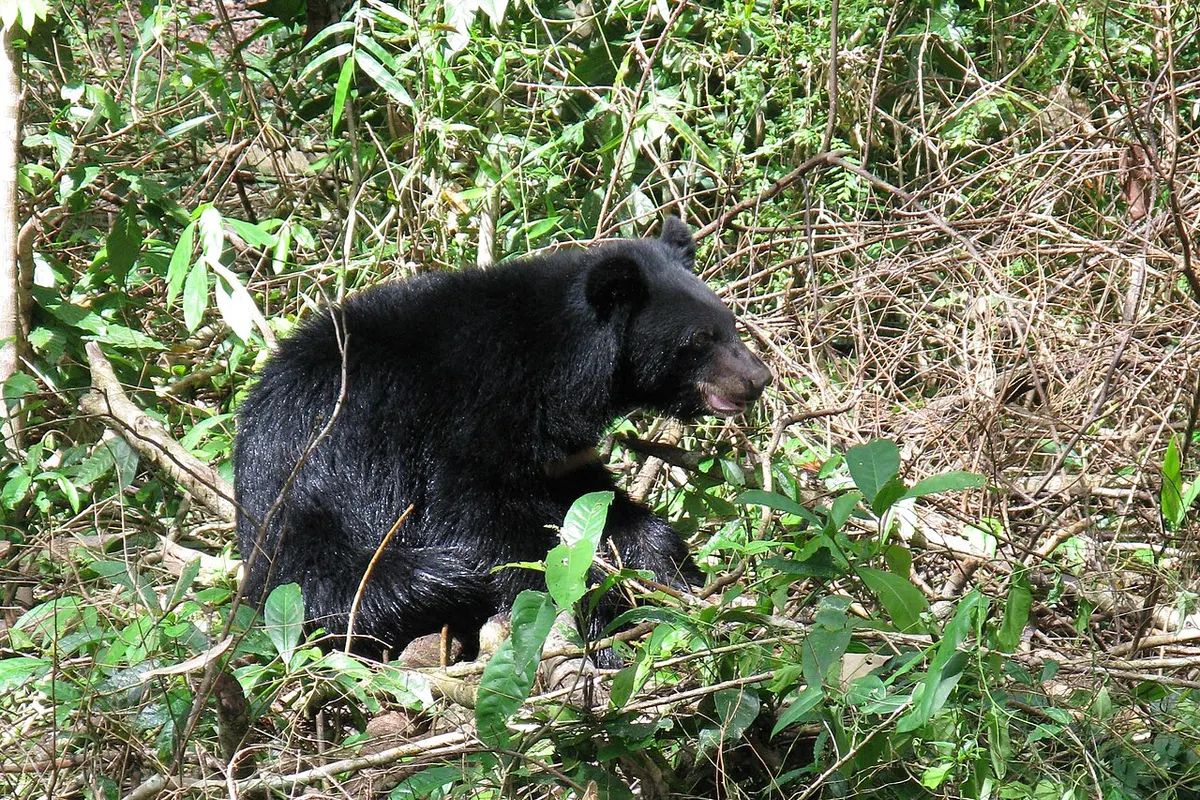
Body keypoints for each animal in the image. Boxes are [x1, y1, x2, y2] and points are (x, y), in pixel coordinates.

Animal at [233, 217, 771, 661]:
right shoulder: (467, 416)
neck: (561, 369)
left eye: (729, 324)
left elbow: (595, 501)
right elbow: (480, 519)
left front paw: (678, 575)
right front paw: (601, 618)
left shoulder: (559, 452)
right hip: (311, 505)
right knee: (359, 586)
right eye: (699, 340)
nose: (758, 378)